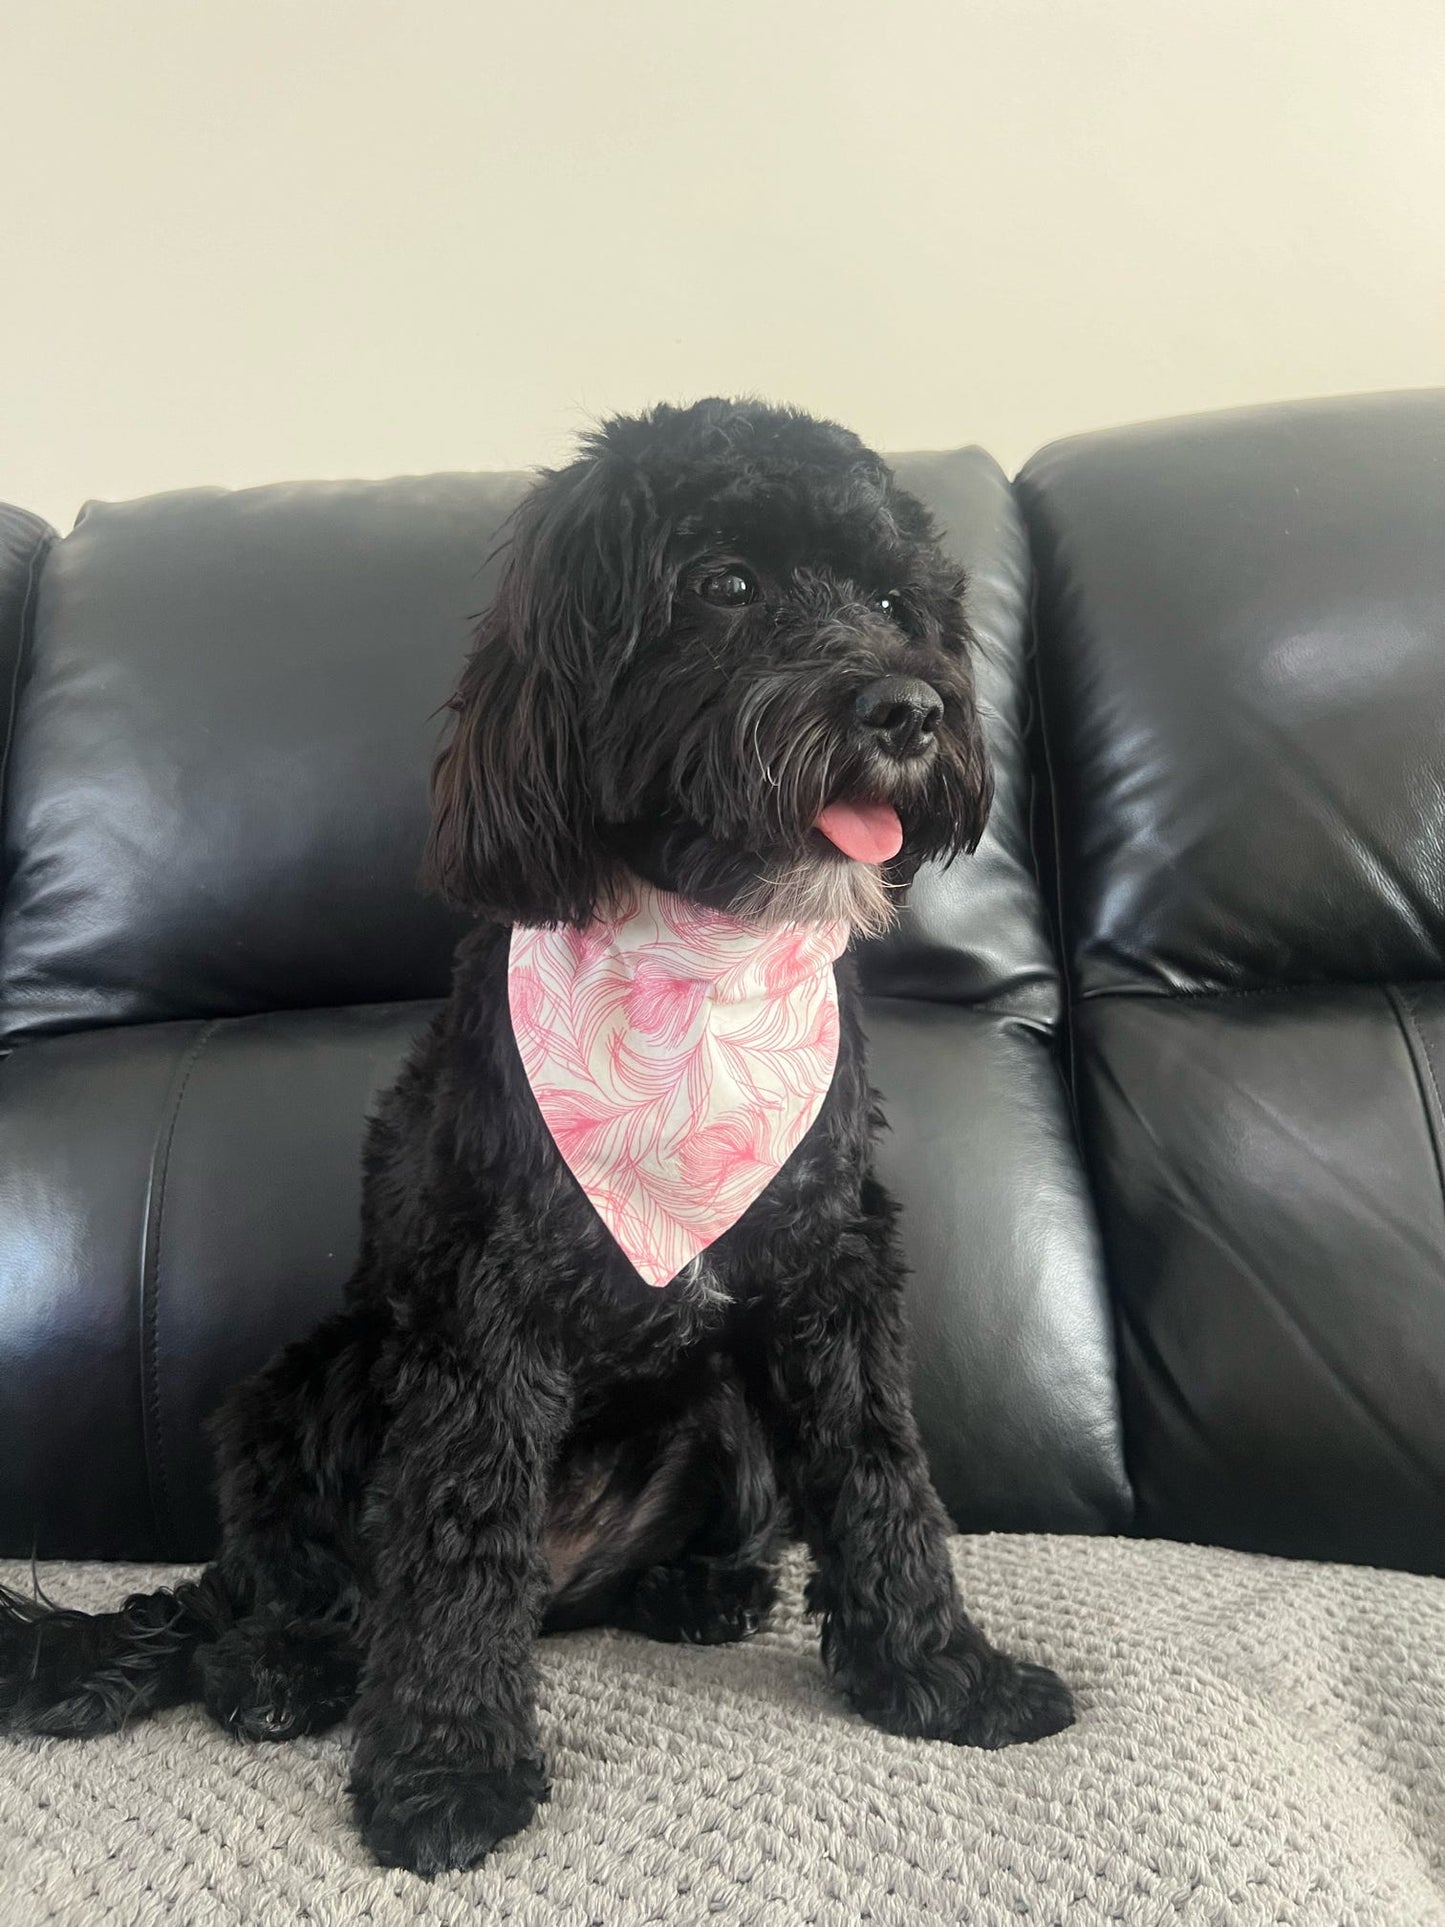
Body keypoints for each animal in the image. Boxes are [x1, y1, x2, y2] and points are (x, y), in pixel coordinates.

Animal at [0, 398, 1078, 1873]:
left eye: (885, 599)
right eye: (722, 583)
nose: (907, 709)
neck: (700, 970)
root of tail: (565, 1585)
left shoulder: (829, 1268)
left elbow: (881, 1473)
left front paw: (944, 1675)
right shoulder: (480, 1302)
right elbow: (459, 1534)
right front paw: (448, 1767)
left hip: (721, 1412)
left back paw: (696, 1590)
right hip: (312, 1385)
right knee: (282, 1591)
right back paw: (283, 1668)